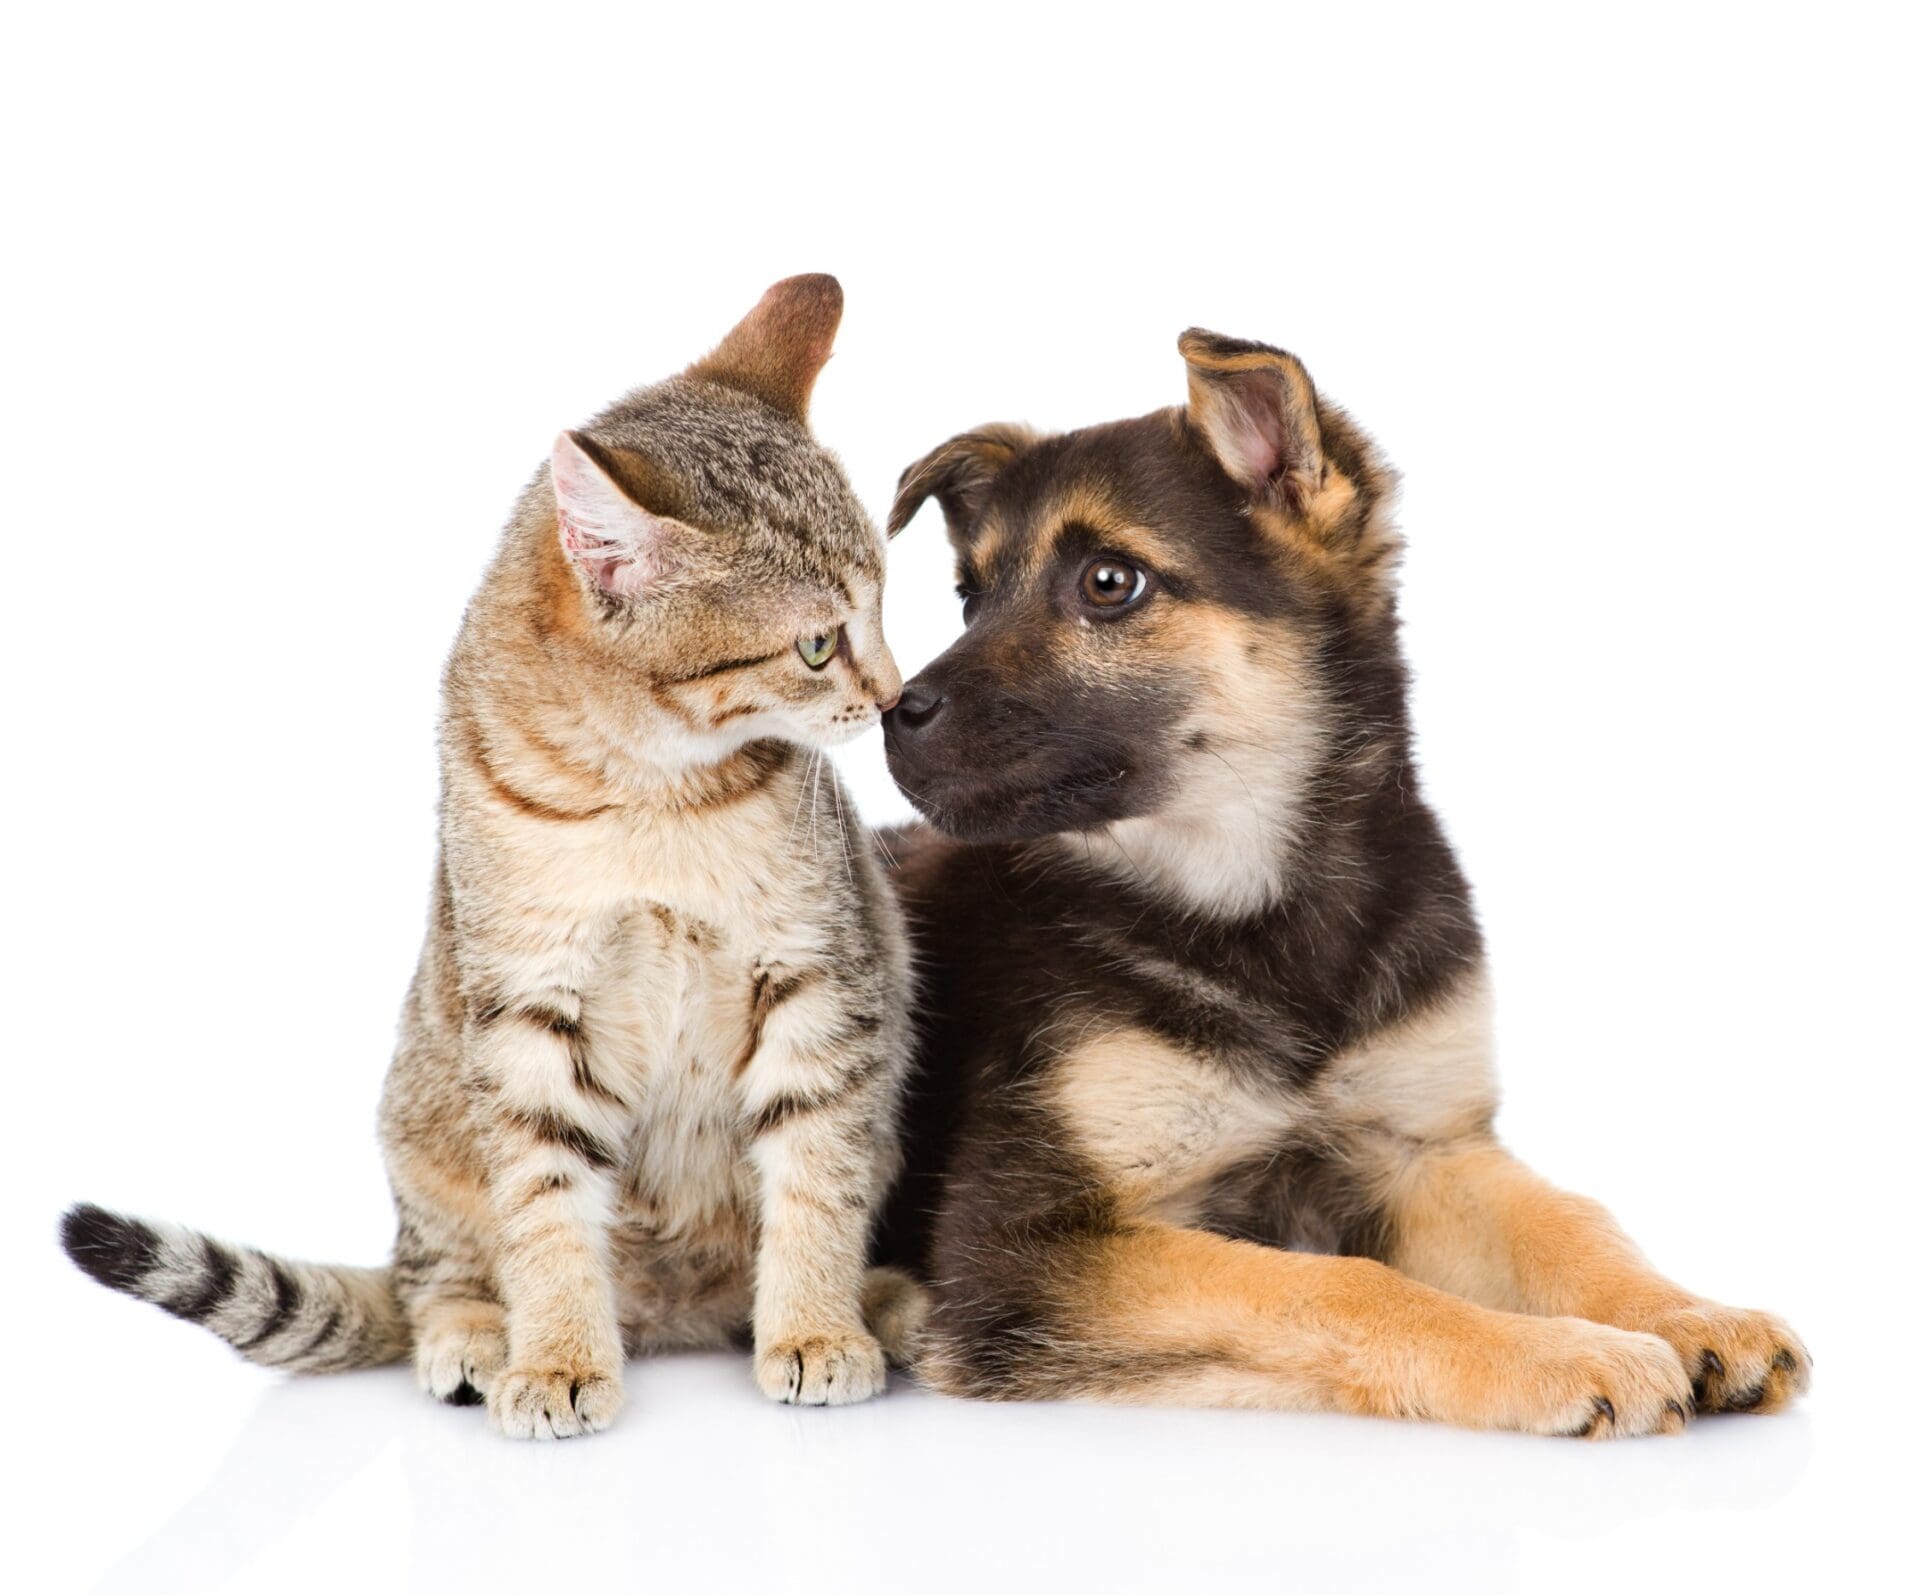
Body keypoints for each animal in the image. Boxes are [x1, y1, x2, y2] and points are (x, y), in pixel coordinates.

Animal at [60, 278, 921, 1443]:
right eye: (818, 645)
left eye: (881, 606)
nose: (895, 694)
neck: (652, 791)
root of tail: (676, 1310)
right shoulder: (524, 1009)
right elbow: (545, 1207)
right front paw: (555, 1354)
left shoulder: (821, 975)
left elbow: (817, 1173)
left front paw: (817, 1328)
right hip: (421, 1134)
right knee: (435, 1272)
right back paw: (476, 1336)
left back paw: (881, 1302)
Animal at [879, 330, 1804, 1443]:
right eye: (970, 595)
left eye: (1110, 582)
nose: (891, 712)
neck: (1262, 901)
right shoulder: (1022, 1242)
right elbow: (1338, 1283)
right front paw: (1564, 1353)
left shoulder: (1422, 1146)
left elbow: (1569, 1222)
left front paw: (1687, 1312)